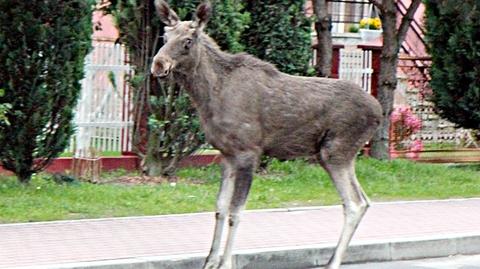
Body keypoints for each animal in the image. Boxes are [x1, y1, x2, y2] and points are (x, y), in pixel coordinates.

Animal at [151, 1, 382, 266]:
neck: (209, 97)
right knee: (364, 200)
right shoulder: (227, 154)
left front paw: (226, 262)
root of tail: (379, 112)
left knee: (353, 203)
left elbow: (235, 212)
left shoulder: (248, 152)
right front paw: (209, 261)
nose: (158, 64)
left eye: (188, 40)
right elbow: (220, 208)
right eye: (165, 36)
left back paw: (332, 262)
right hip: (342, 155)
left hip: (334, 152)